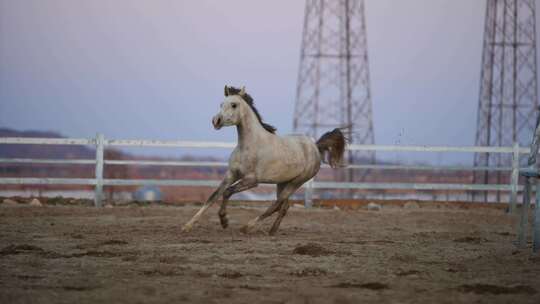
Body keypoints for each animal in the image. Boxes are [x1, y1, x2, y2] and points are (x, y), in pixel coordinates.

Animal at [182, 85, 346, 235]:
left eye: (234, 104)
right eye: (221, 104)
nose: (216, 121)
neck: (249, 145)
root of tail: (315, 146)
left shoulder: (252, 180)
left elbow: (228, 192)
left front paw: (224, 220)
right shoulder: (231, 174)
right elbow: (213, 196)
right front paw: (188, 225)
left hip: (296, 182)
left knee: (277, 204)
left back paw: (248, 227)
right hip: (283, 182)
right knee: (284, 206)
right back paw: (272, 231)